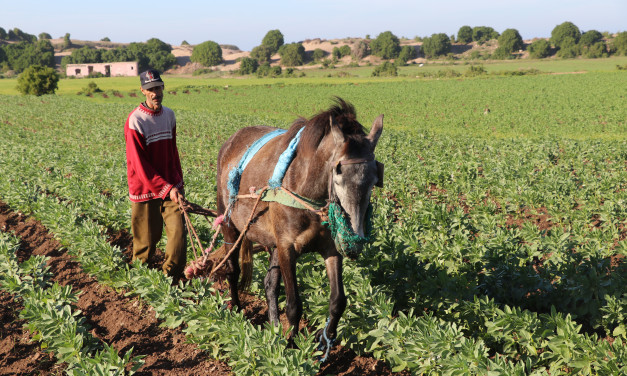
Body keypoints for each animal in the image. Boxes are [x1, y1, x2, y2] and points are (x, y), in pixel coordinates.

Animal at [216, 97, 382, 352]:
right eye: (338, 172)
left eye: (375, 179)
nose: (353, 242)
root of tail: (231, 142)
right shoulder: (287, 248)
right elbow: (294, 304)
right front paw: (293, 347)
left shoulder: (331, 249)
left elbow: (338, 301)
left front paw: (327, 339)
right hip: (230, 226)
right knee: (232, 271)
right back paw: (237, 311)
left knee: (269, 284)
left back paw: (274, 327)